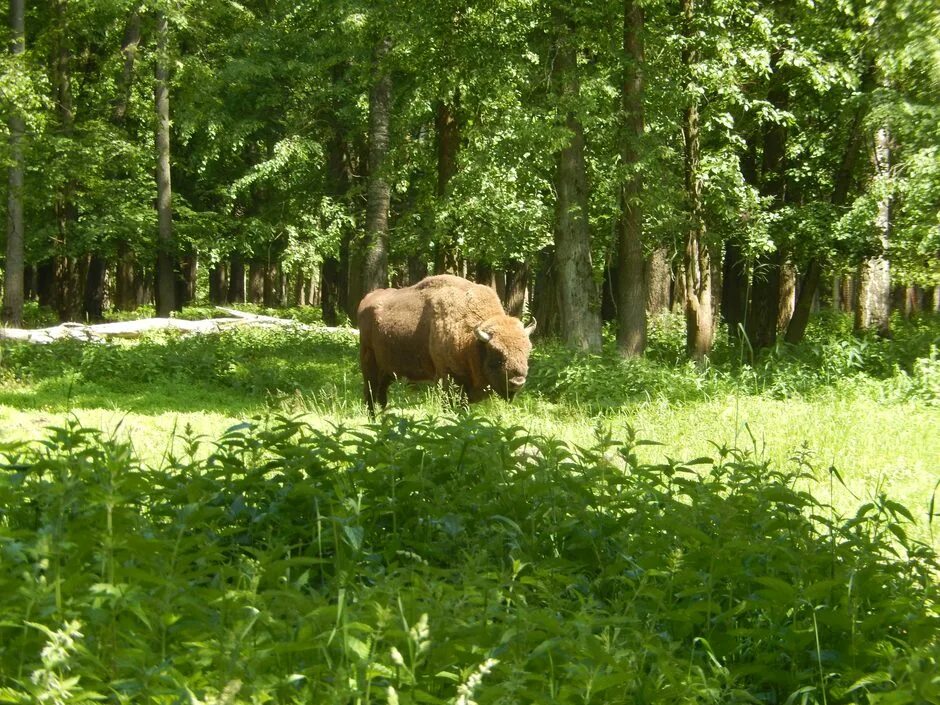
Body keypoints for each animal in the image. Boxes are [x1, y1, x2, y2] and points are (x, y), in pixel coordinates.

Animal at [358, 274, 536, 416]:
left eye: (527, 351)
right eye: (497, 353)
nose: (517, 382)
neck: (472, 341)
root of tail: (366, 300)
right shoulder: (448, 379)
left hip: (388, 371)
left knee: (381, 395)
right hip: (370, 364)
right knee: (370, 393)